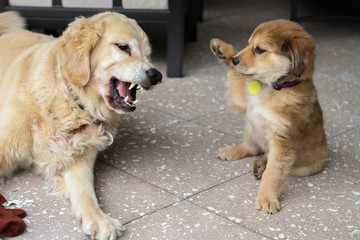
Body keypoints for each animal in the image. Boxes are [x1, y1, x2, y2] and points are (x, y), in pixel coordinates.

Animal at [0, 10, 162, 238]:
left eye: (148, 54)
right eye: (123, 47)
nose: (157, 75)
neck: (75, 103)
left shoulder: (79, 160)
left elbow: (86, 193)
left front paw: (99, 219)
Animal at [211, 18, 326, 214]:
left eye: (259, 49)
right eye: (248, 44)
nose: (235, 60)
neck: (274, 87)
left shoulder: (283, 140)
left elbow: (273, 174)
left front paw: (266, 198)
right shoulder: (245, 102)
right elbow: (237, 77)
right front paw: (222, 49)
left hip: (306, 167)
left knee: (265, 154)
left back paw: (261, 165)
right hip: (250, 126)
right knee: (253, 147)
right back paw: (235, 152)